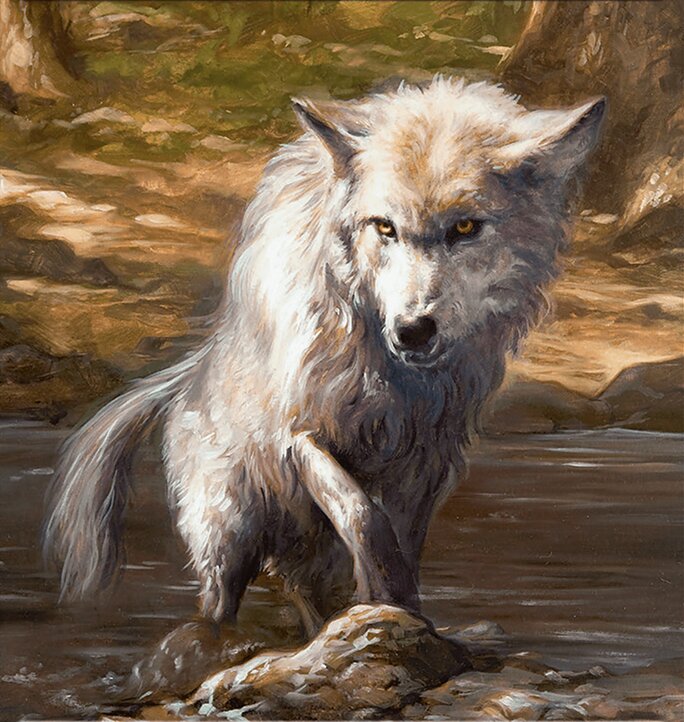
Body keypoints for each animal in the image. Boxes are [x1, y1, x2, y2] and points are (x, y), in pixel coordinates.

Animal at [44, 77, 604, 634]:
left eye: (465, 228)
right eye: (384, 227)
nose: (412, 331)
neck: (387, 370)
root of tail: (192, 375)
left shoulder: (428, 457)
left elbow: (404, 541)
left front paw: (403, 608)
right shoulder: (301, 432)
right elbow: (362, 514)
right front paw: (384, 596)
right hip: (230, 529)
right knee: (219, 600)